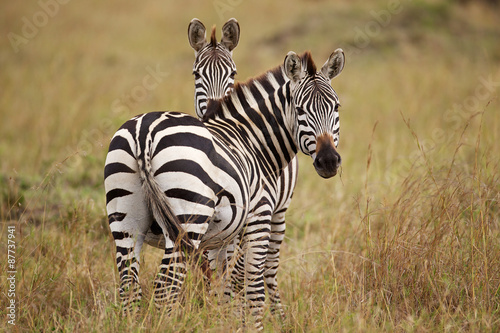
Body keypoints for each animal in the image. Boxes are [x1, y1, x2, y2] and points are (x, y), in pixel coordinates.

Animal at [103, 48, 346, 328]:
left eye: (336, 107)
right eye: (299, 109)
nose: (328, 161)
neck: (253, 142)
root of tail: (144, 133)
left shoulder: (223, 236)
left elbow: (226, 283)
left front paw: (225, 320)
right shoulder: (260, 217)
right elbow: (253, 285)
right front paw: (255, 326)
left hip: (126, 220)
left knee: (129, 288)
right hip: (187, 219)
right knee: (167, 287)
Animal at [187, 17, 296, 316]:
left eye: (232, 73)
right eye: (196, 74)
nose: (212, 108)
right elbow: (212, 264)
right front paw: (213, 304)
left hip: (279, 211)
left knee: (269, 267)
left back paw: (278, 314)